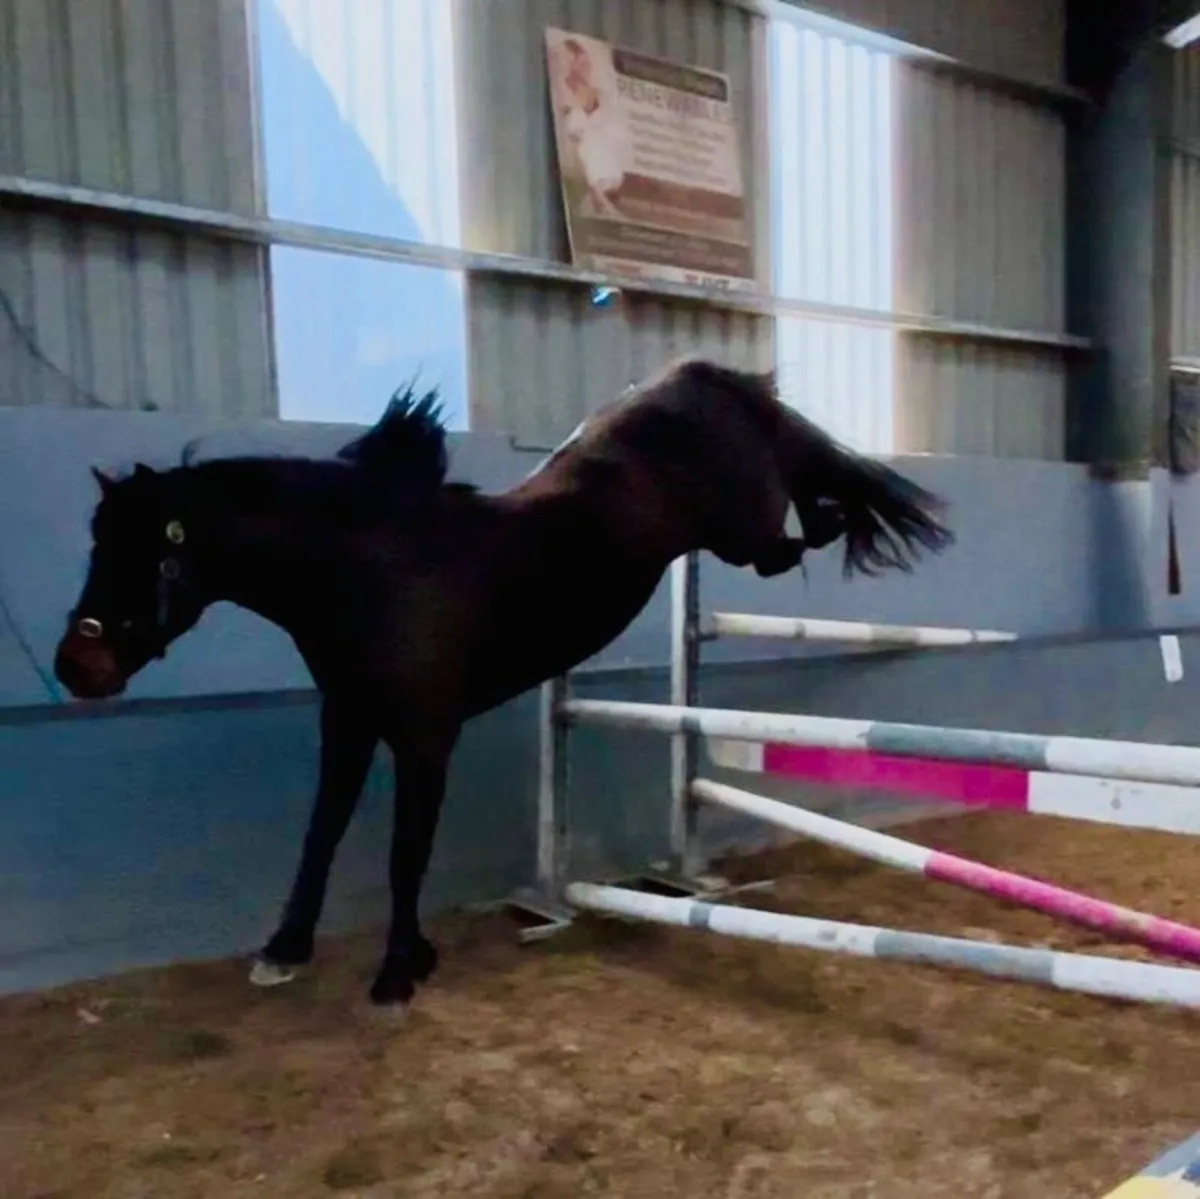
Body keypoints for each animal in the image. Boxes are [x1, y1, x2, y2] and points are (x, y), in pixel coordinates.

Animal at [53, 357, 953, 1009]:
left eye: (144, 551)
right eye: (96, 543)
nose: (74, 665)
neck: (366, 570)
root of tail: (698, 376)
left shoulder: (423, 736)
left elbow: (405, 850)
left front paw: (400, 969)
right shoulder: (347, 722)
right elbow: (322, 833)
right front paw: (284, 951)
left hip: (742, 533)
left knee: (804, 520)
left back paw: (831, 515)